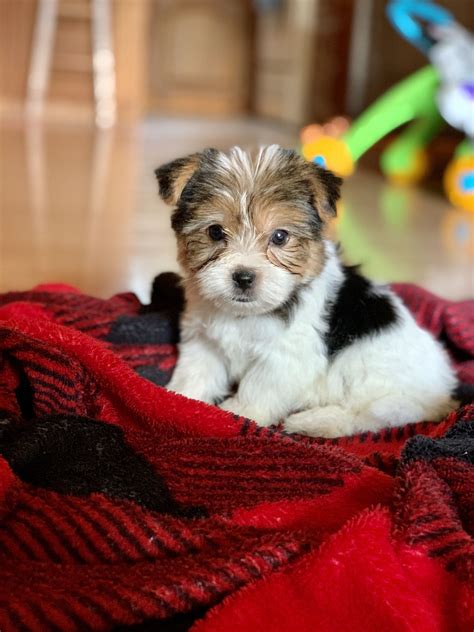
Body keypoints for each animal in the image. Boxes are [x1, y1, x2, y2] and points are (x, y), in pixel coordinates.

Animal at [156, 146, 456, 436]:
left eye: (280, 236)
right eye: (216, 232)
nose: (243, 277)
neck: (245, 313)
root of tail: (444, 392)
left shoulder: (285, 356)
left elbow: (260, 386)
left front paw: (240, 412)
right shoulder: (205, 339)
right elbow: (197, 369)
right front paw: (180, 399)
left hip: (379, 382)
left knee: (368, 414)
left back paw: (315, 422)